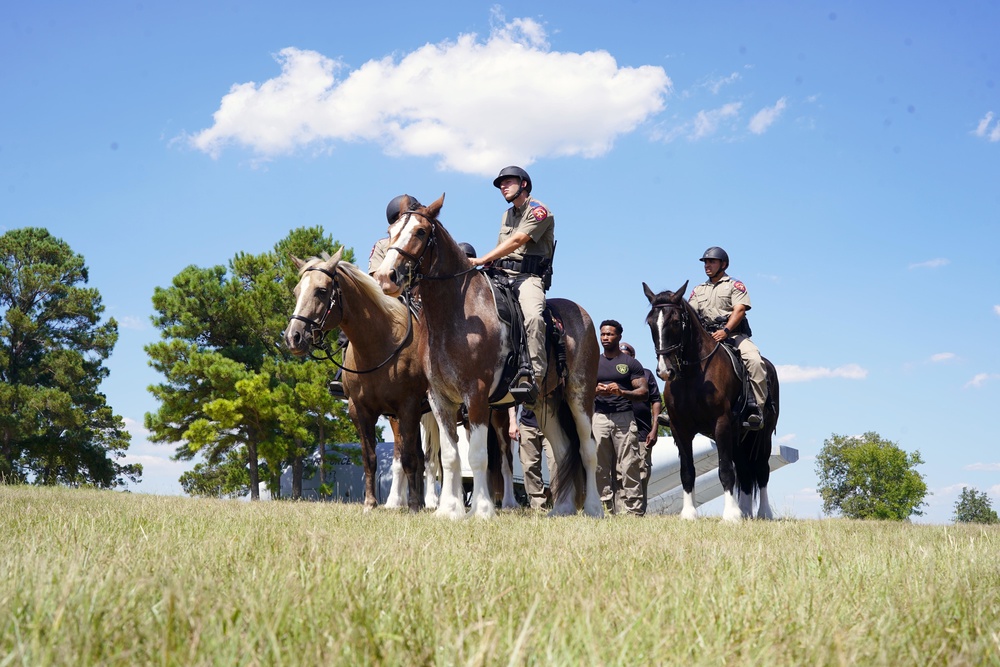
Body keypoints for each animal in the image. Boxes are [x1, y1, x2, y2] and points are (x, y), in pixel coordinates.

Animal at [372, 196, 596, 520]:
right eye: (390, 232)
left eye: (420, 232)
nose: (385, 277)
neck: (457, 313)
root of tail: (583, 316)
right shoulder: (440, 400)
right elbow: (450, 457)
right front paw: (448, 510)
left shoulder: (476, 396)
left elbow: (478, 456)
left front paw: (482, 509)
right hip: (546, 401)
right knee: (565, 450)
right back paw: (562, 509)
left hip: (580, 396)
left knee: (587, 449)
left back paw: (594, 507)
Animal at [640, 282, 780, 520]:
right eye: (650, 322)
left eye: (675, 321)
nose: (665, 371)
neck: (693, 374)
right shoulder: (680, 429)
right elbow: (687, 472)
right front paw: (689, 513)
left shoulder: (720, 423)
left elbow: (725, 470)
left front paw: (730, 515)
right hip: (739, 437)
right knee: (744, 470)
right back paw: (744, 511)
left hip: (763, 434)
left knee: (761, 470)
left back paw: (764, 513)